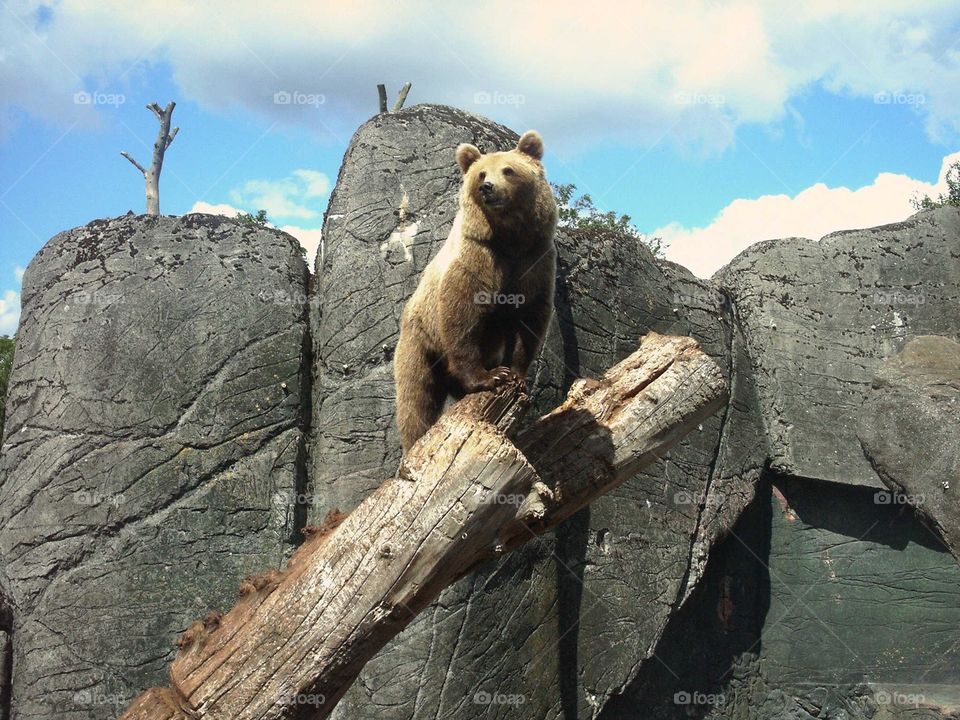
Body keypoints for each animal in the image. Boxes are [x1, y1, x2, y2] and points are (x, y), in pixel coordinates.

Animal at [394, 130, 558, 453]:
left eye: (508, 170)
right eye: (481, 173)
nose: (487, 188)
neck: (510, 238)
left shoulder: (534, 261)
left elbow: (531, 316)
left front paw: (515, 374)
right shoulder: (479, 257)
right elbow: (462, 313)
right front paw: (491, 377)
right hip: (420, 342)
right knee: (416, 396)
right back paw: (414, 441)